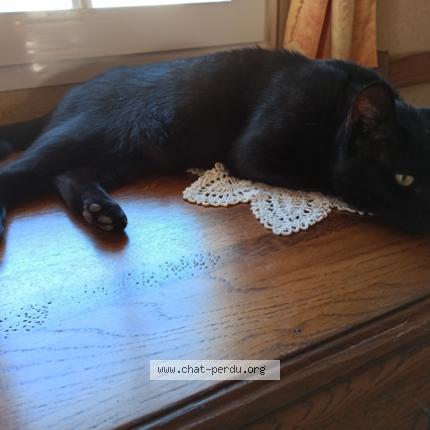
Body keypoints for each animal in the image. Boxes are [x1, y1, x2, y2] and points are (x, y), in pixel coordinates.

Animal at [0, 47, 429, 238]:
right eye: (405, 177)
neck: (337, 106)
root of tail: (68, 95)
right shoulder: (253, 153)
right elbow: (326, 176)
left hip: (128, 155)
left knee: (68, 177)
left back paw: (99, 212)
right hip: (87, 134)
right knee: (19, 171)